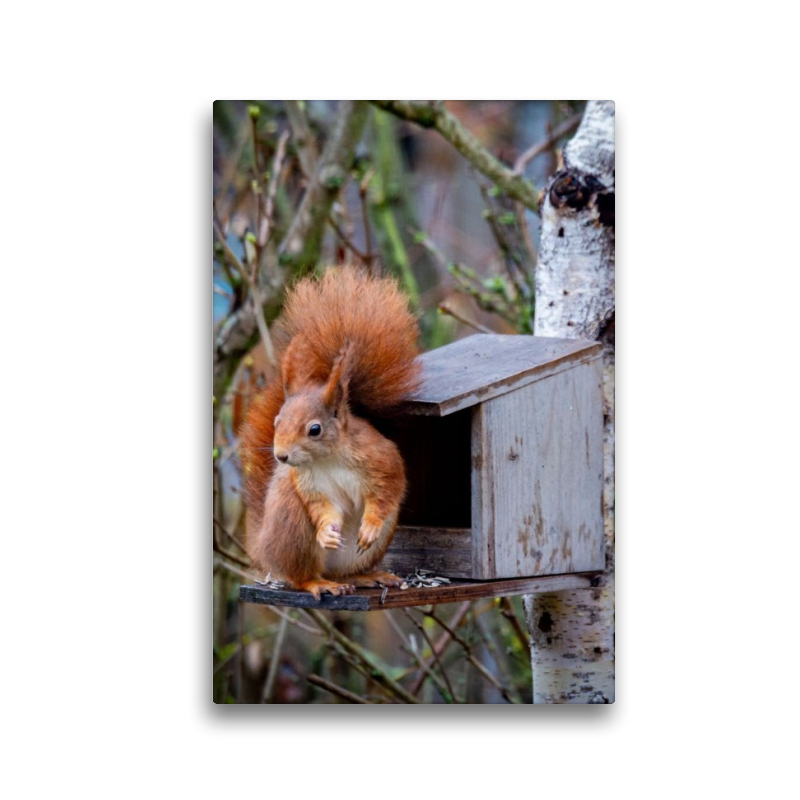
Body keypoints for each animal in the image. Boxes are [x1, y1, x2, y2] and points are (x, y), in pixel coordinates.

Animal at [240, 266, 421, 599]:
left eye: (315, 429)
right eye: (276, 422)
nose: (281, 456)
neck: (328, 459)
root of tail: (263, 549)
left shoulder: (381, 461)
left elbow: (386, 492)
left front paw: (370, 525)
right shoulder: (310, 486)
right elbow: (323, 509)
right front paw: (326, 531)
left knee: (343, 570)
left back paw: (366, 576)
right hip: (295, 529)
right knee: (301, 576)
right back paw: (319, 582)